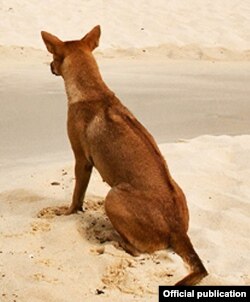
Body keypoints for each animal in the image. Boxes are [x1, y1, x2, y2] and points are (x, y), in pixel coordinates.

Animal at [41, 24, 208, 284]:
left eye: (53, 57)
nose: (49, 66)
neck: (92, 89)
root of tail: (178, 230)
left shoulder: (81, 160)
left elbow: (77, 196)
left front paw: (69, 212)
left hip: (113, 197)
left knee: (137, 250)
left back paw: (114, 241)